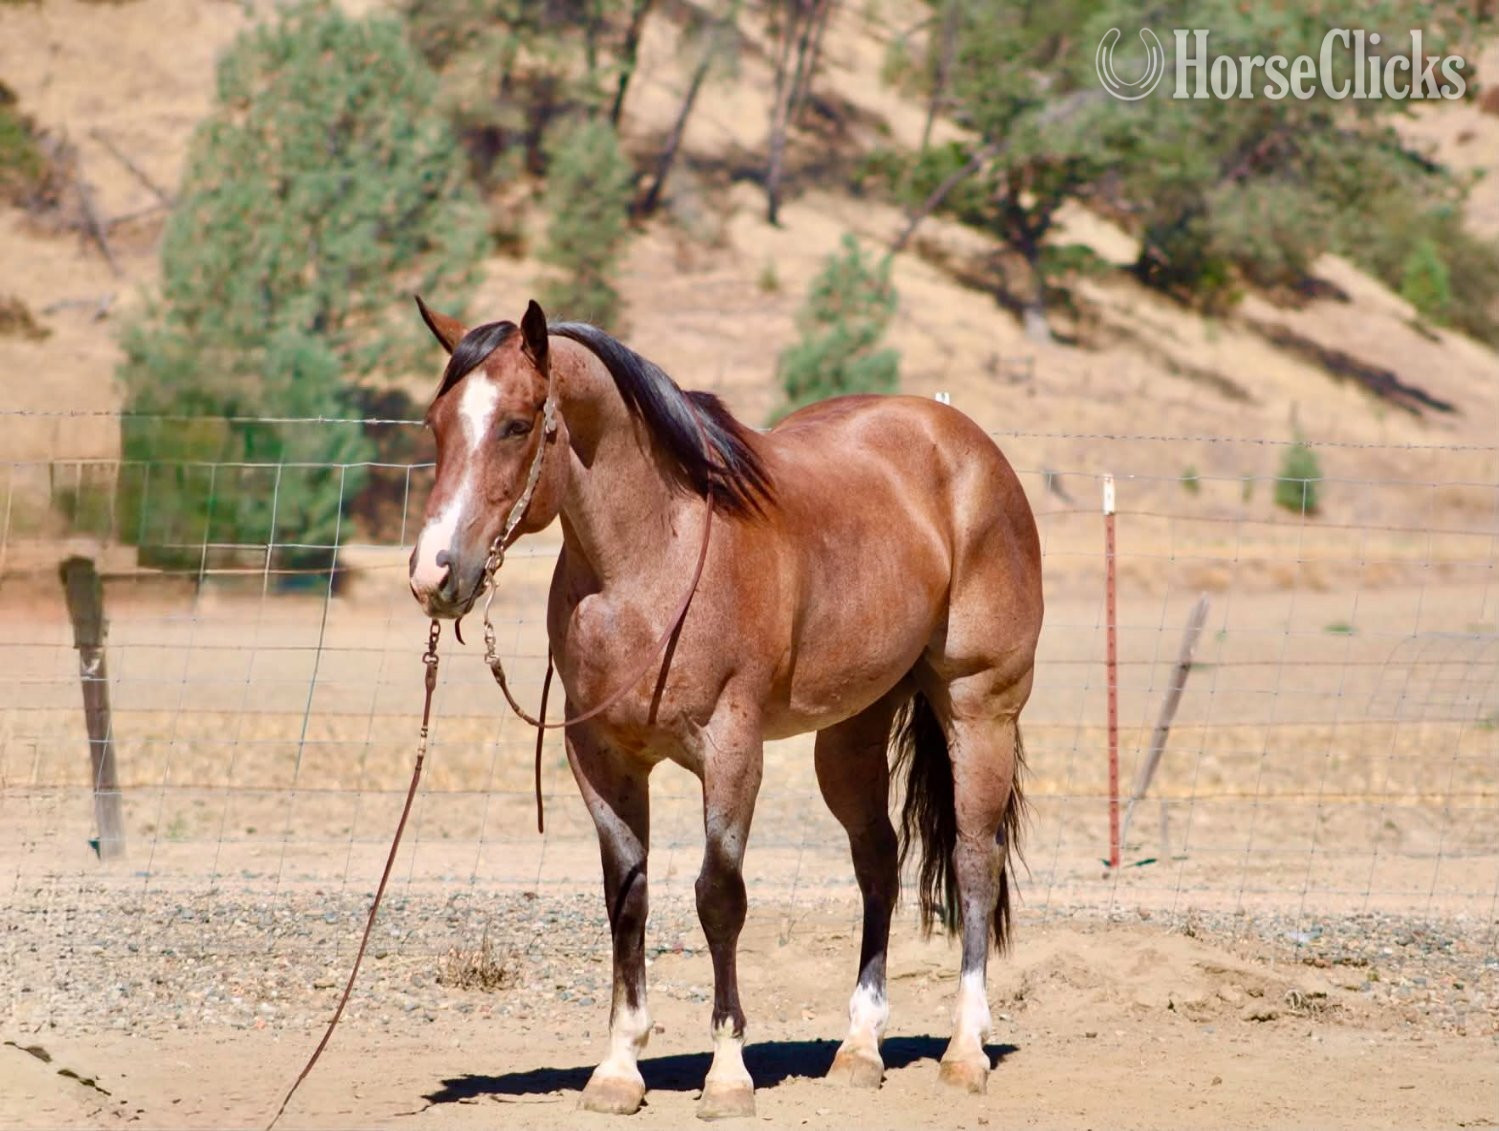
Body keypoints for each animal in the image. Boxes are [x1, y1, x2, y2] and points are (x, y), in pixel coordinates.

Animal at [407, 298, 1043, 1119]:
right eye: (436, 423)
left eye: (516, 425)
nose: (433, 575)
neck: (651, 561)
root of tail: (966, 443)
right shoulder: (602, 759)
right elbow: (628, 896)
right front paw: (618, 1070)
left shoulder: (731, 749)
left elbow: (719, 897)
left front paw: (728, 1074)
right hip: (851, 731)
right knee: (878, 859)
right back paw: (858, 1049)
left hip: (979, 708)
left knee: (972, 858)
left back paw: (965, 1051)